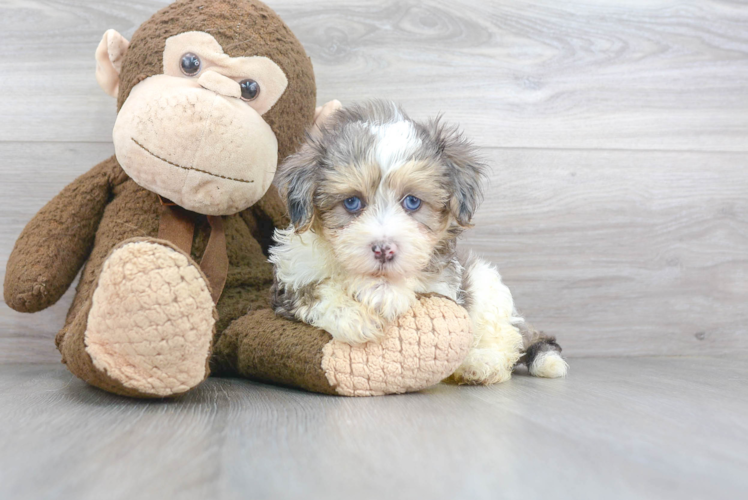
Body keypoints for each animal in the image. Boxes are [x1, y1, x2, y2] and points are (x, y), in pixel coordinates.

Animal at [268, 100, 568, 382]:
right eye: (352, 202)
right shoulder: (290, 279)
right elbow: (315, 291)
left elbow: (419, 278)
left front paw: (384, 290)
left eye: (412, 202)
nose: (384, 250)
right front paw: (355, 316)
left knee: (505, 341)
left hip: (486, 290)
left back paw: (481, 364)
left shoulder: (444, 283)